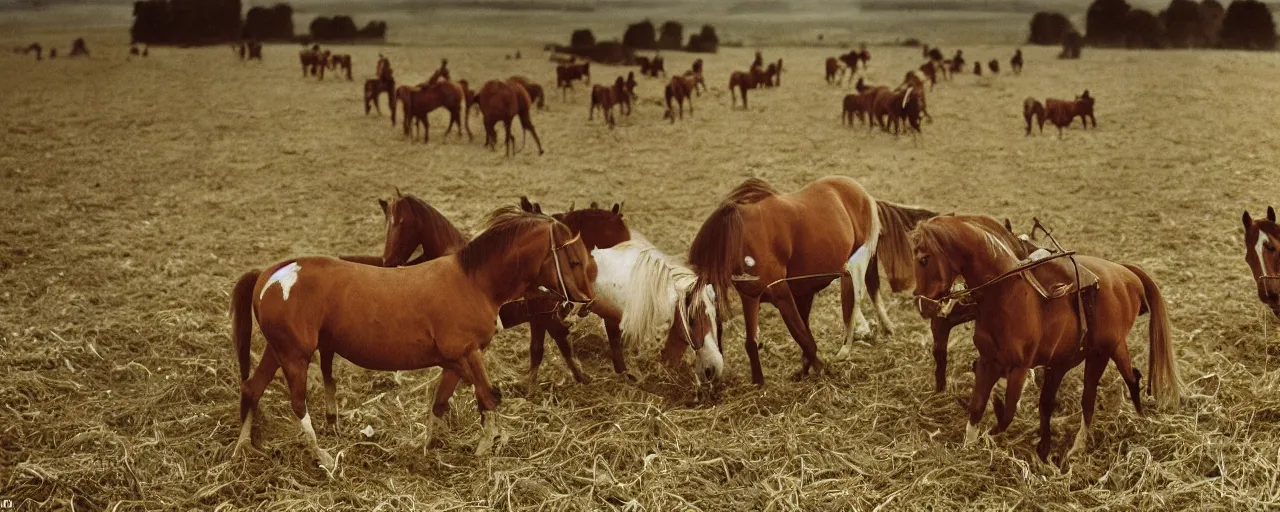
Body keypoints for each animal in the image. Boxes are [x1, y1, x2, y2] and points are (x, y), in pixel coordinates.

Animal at [229, 207, 593, 463]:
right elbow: (488, 396)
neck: (474, 281)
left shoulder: (455, 360)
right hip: (295, 356)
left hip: (278, 351)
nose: (584, 305)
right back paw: (322, 456)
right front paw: (486, 446)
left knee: (251, 388)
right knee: (297, 402)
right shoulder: (467, 353)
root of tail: (268, 275)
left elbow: (442, 403)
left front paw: (430, 447)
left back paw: (244, 447)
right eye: (574, 261)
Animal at [691, 176, 901, 384]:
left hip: (864, 257)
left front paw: (824, 369)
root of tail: (858, 189)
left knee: (867, 288)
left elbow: (802, 337)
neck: (741, 239)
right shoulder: (752, 297)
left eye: (695, 320)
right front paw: (760, 381)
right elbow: (754, 341)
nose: (707, 372)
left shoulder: (782, 294)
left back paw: (877, 332)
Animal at [911, 213, 1177, 460]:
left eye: (924, 259)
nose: (924, 306)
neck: (1007, 293)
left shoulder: (1019, 368)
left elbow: (1007, 413)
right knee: (1118, 382)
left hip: (1103, 353)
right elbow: (978, 408)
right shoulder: (990, 361)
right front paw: (969, 447)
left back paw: (1083, 445)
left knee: (1098, 395)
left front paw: (991, 428)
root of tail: (1125, 273)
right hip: (1082, 357)